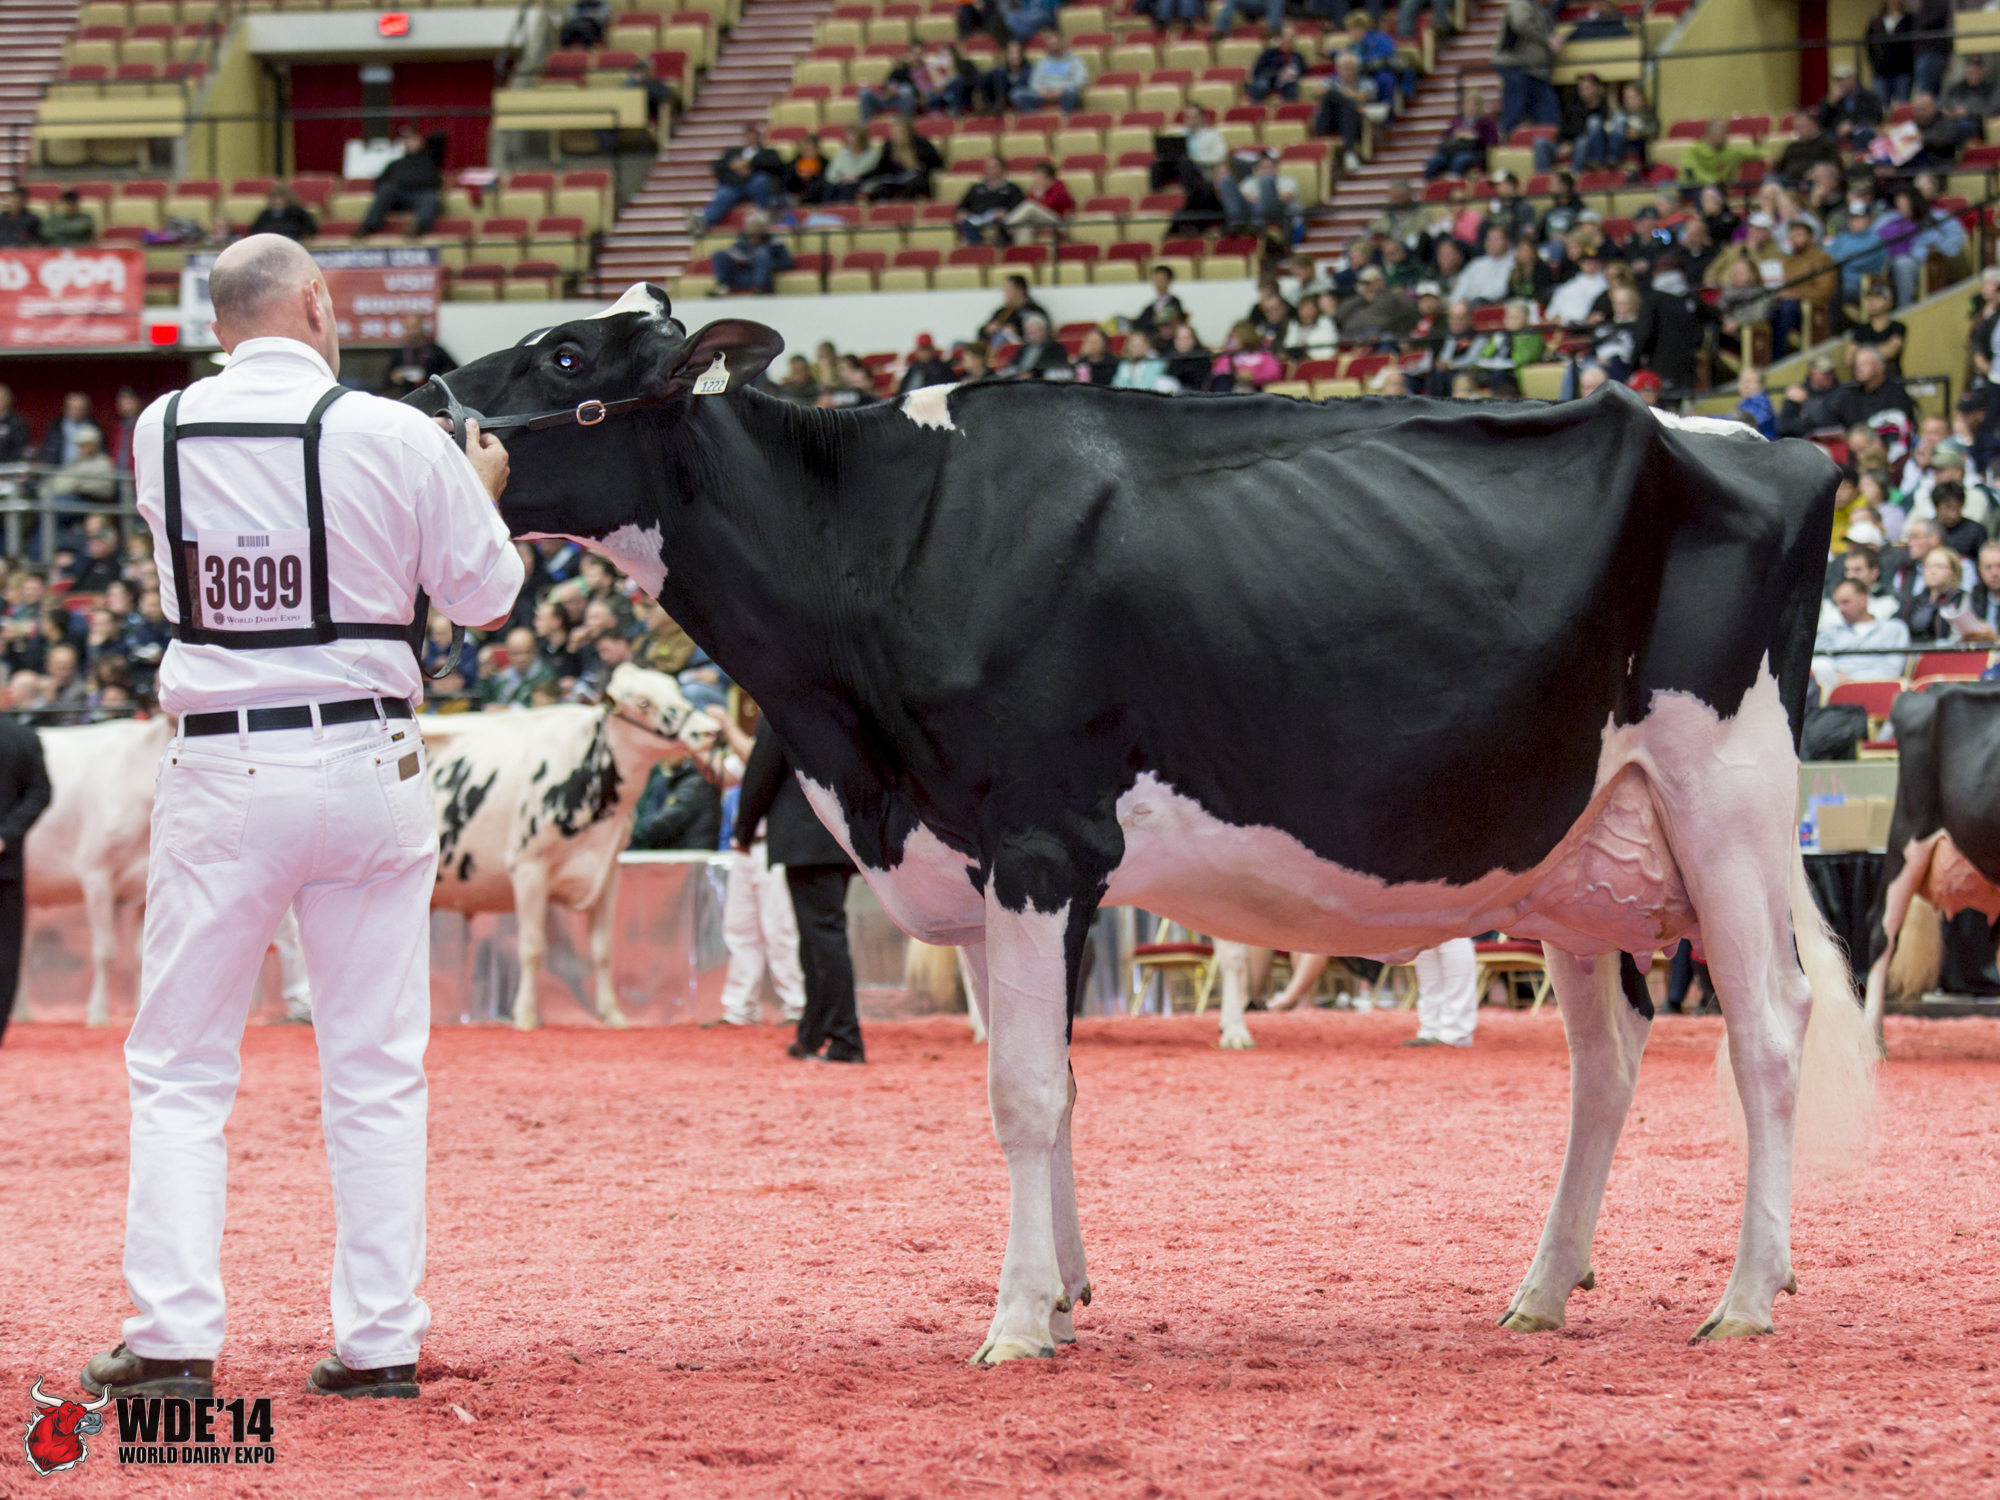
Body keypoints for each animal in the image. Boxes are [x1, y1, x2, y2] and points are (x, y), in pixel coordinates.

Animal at [23, 716, 307, 1027]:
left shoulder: (142, 884)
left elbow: (142, 955)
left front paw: (140, 1009)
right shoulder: (96, 873)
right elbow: (105, 951)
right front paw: (97, 1015)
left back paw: (22, 1013)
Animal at [425, 661, 721, 1030]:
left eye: (675, 689)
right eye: (642, 702)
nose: (710, 730)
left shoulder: (609, 872)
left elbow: (603, 949)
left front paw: (613, 1015)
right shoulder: (528, 867)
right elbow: (532, 948)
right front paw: (526, 1016)